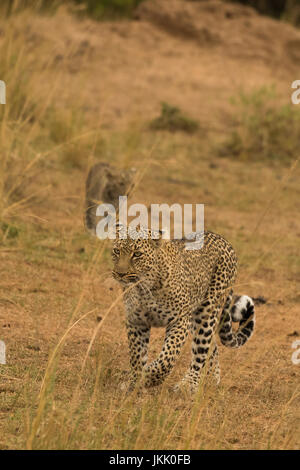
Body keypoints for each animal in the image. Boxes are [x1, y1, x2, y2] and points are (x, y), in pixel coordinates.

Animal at [111, 224, 254, 392]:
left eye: (137, 254)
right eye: (117, 251)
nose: (120, 273)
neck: (144, 288)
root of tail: (223, 239)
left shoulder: (179, 321)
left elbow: (167, 359)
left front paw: (148, 378)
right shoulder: (136, 322)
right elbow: (136, 356)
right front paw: (134, 380)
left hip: (206, 313)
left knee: (202, 349)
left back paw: (189, 384)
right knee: (212, 346)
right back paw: (212, 379)